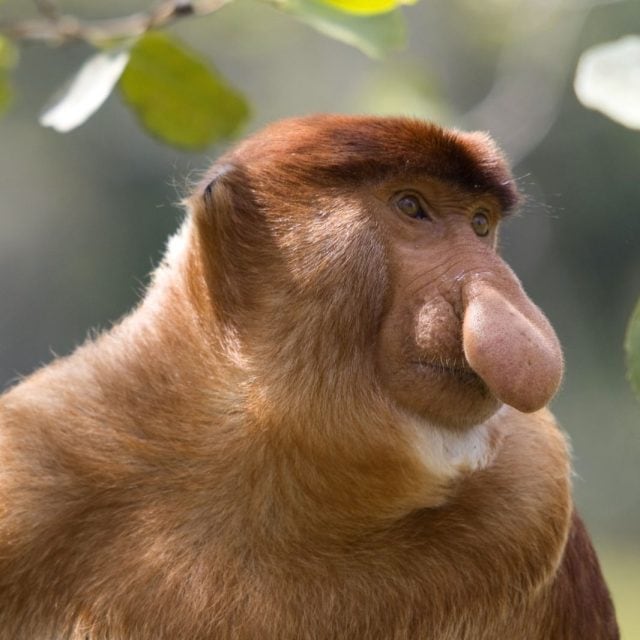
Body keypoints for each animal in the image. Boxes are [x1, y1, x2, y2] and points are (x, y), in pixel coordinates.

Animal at [0, 115, 618, 639]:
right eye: (412, 206)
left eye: (481, 224)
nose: (504, 295)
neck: (271, 453)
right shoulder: (30, 469)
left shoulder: (530, 491)